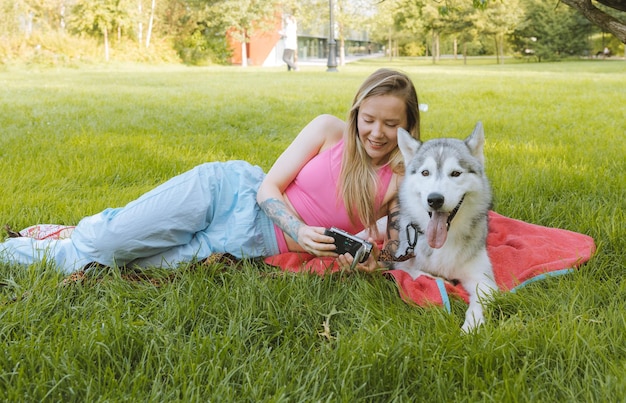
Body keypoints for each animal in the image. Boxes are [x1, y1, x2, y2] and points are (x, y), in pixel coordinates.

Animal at [398, 122, 494, 332]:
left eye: (456, 173)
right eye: (425, 173)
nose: (435, 199)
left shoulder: (483, 279)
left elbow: (478, 301)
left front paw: (471, 327)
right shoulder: (401, 263)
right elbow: (421, 274)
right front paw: (441, 280)